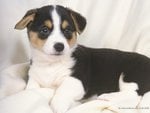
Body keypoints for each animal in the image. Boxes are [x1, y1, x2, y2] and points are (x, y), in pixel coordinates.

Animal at [14, 4, 150, 113]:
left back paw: (108, 96)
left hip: (130, 75)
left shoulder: (76, 81)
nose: (59, 46)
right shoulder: (34, 80)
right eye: (44, 30)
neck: (51, 64)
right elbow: (31, 89)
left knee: (135, 94)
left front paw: (58, 106)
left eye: (67, 30)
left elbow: (62, 91)